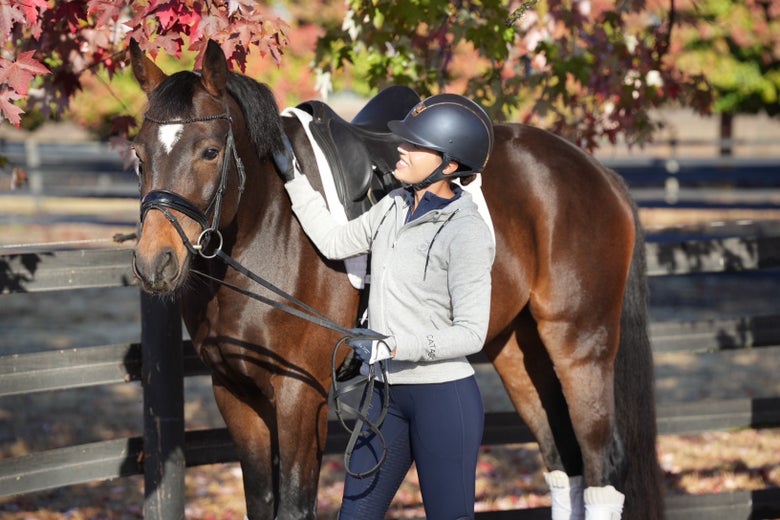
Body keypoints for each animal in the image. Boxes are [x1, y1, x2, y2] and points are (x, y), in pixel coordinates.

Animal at [128, 39, 664, 519]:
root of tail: (597, 172)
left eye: (209, 151)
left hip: (580, 347)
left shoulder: (301, 395)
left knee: (599, 465)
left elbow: (295, 506)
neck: (270, 223)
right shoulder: (234, 393)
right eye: (138, 155)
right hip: (517, 350)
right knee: (562, 464)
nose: (155, 263)